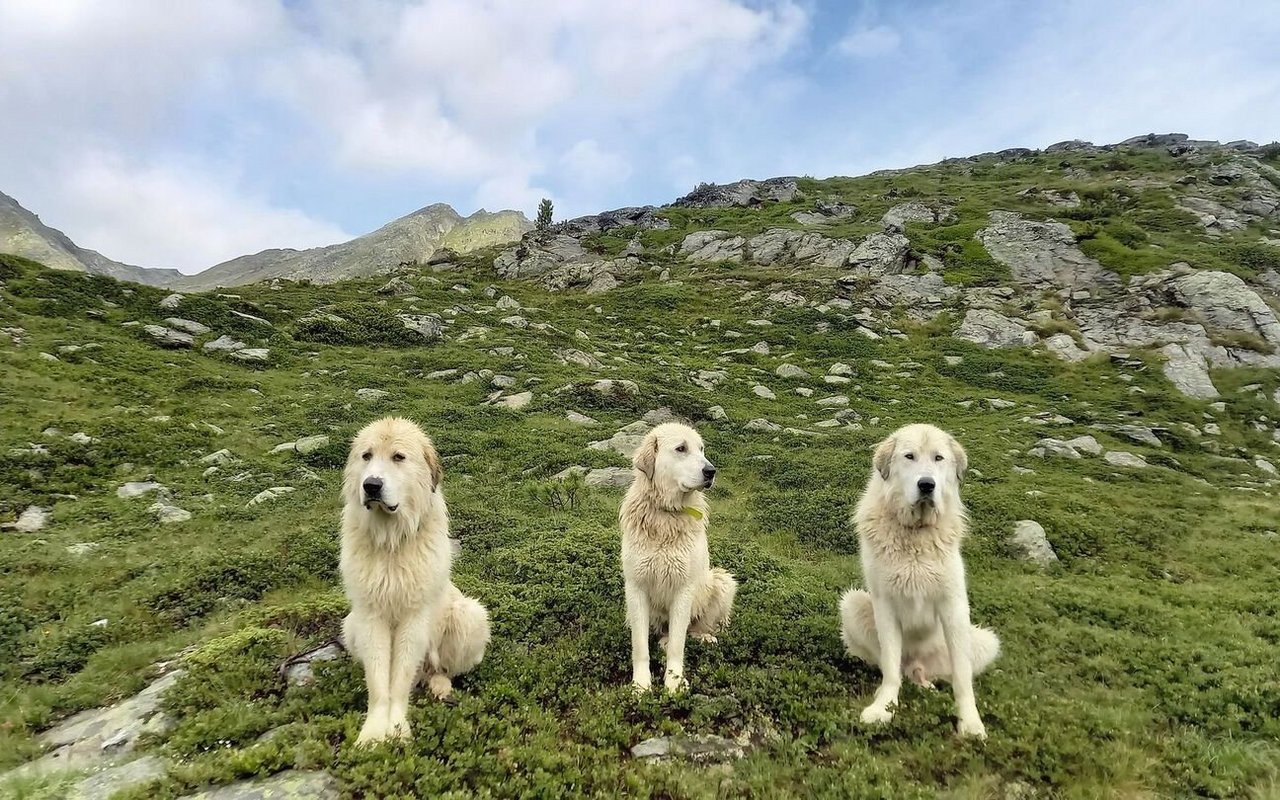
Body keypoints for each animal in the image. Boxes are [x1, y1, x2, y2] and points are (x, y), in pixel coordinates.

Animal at [340, 414, 488, 747]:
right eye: (366, 456)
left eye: (398, 457)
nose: (371, 485)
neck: (391, 540)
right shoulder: (370, 616)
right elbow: (378, 679)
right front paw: (373, 732)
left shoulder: (415, 617)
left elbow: (399, 679)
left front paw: (397, 728)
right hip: (350, 624)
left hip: (469, 615)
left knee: (441, 669)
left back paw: (441, 687)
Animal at [616, 422, 737, 691]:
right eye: (681, 448)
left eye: (701, 449)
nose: (711, 471)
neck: (666, 514)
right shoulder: (636, 587)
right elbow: (640, 646)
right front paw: (641, 686)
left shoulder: (684, 588)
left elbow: (677, 645)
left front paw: (674, 683)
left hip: (721, 581)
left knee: (697, 628)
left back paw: (705, 637)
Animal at [839, 422, 998, 737]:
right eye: (909, 456)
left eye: (938, 458)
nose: (927, 485)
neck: (915, 533)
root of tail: (918, 666)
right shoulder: (884, 603)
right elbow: (890, 666)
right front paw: (884, 708)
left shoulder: (953, 605)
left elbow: (962, 676)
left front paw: (970, 722)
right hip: (852, 603)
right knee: (894, 667)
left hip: (985, 640)